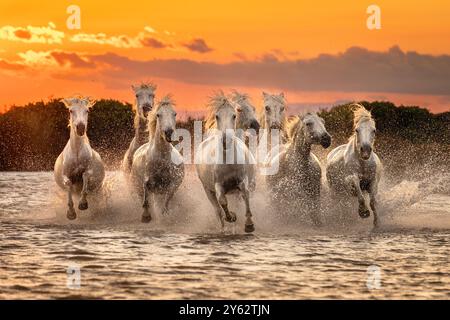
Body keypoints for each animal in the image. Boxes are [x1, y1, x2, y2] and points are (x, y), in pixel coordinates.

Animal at [196, 92, 256, 232]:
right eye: (217, 116)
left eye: (234, 115)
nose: (225, 140)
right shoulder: (218, 185)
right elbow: (222, 201)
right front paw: (231, 217)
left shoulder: (242, 180)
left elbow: (246, 194)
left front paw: (249, 224)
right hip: (208, 190)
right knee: (217, 210)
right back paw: (223, 229)